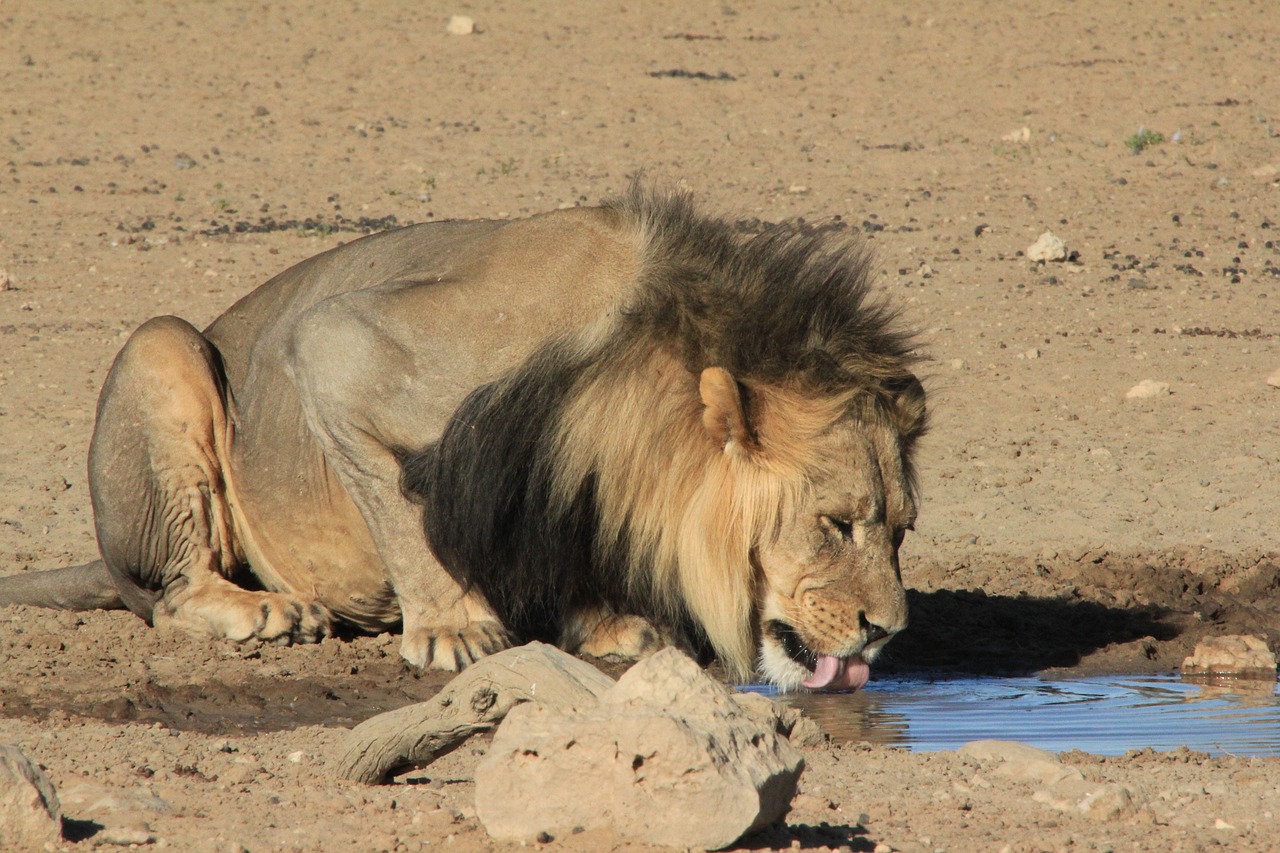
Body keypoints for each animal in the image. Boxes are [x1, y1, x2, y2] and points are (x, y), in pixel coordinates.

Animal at [0, 183, 926, 686]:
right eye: (836, 523)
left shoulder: (570, 483)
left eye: (901, 530)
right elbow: (405, 519)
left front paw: (607, 623)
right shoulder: (337, 347)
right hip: (165, 347)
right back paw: (264, 610)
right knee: (170, 591)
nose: (887, 630)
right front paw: (453, 627)